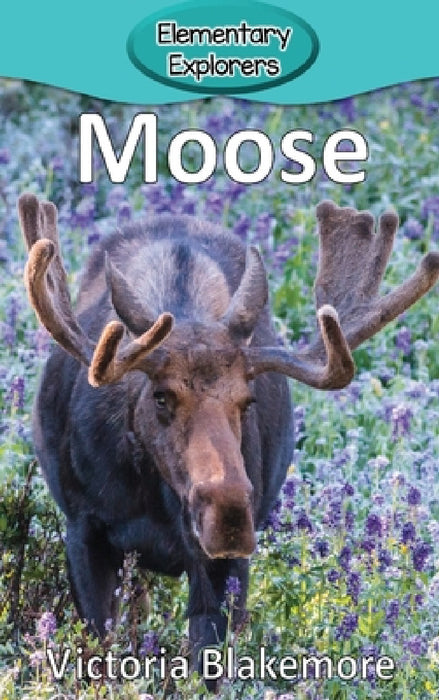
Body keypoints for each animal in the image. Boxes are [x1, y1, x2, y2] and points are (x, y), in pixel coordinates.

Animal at [18, 192, 439, 682]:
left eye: (247, 400)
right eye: (161, 397)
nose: (230, 513)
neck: (152, 498)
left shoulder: (223, 566)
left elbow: (209, 662)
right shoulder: (84, 531)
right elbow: (100, 650)